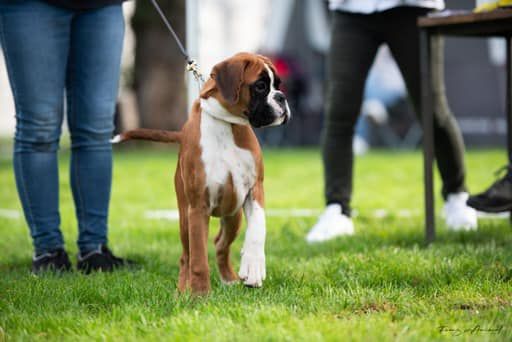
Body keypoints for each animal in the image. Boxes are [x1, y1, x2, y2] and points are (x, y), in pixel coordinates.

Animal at [113, 52, 290, 294]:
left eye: (277, 85)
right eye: (261, 86)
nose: (282, 97)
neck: (227, 125)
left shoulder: (255, 190)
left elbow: (257, 229)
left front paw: (253, 267)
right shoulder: (198, 207)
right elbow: (198, 259)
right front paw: (199, 295)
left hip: (233, 216)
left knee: (220, 245)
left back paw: (229, 279)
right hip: (185, 217)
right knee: (186, 256)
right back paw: (182, 291)